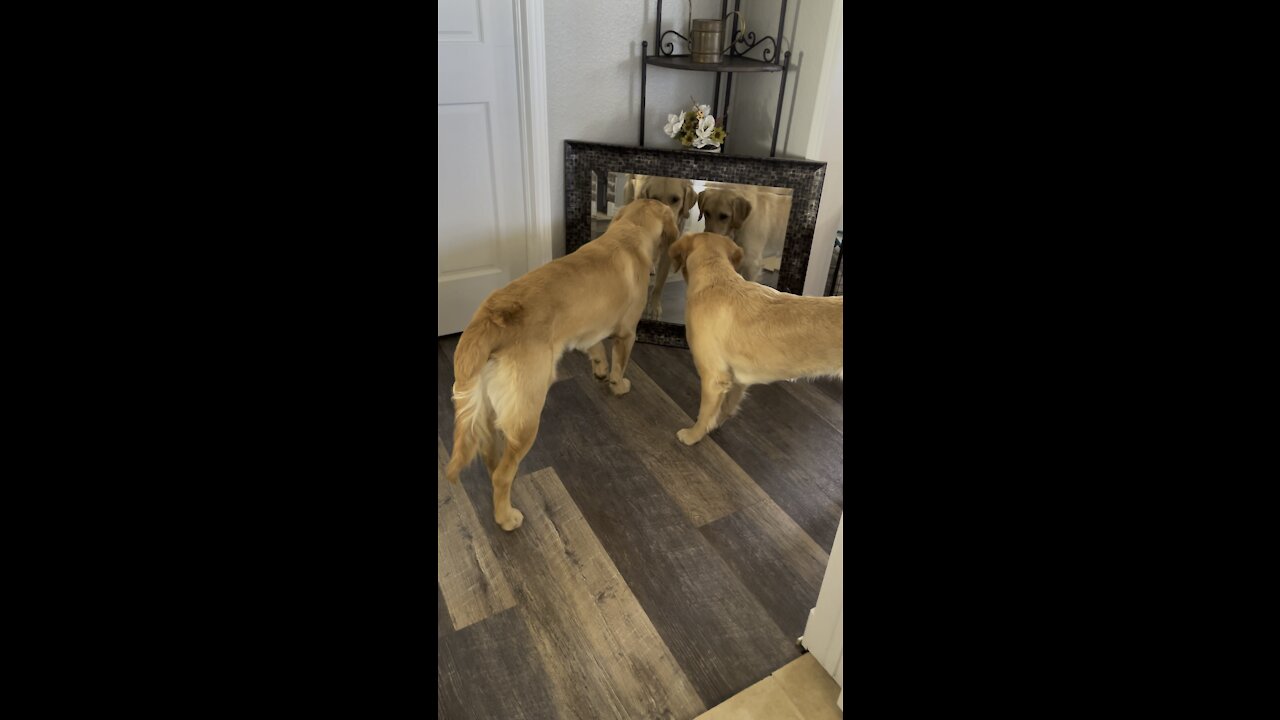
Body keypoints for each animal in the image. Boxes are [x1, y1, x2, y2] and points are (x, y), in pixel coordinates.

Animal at [445, 198, 680, 530]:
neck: (630, 231)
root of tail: (489, 320)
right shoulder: (627, 332)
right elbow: (620, 362)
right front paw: (618, 383)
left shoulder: (587, 328)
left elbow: (596, 347)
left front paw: (600, 369)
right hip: (527, 415)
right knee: (503, 474)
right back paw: (506, 517)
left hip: (487, 409)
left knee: (490, 456)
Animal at [665, 230, 844, 443]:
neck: (717, 278)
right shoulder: (737, 379)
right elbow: (726, 407)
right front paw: (717, 423)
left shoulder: (713, 378)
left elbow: (704, 414)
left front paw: (693, 435)